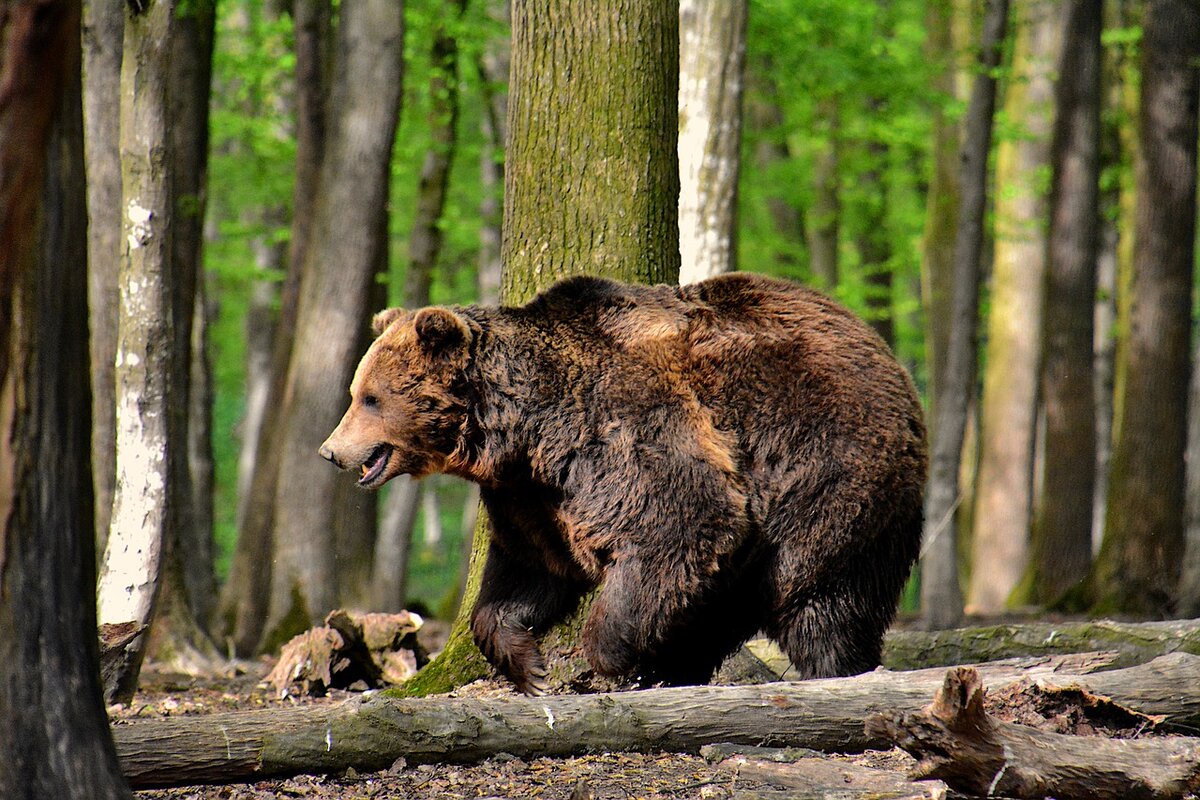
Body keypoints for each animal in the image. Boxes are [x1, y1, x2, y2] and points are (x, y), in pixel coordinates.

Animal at [319, 273, 926, 695]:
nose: (330, 450)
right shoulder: (533, 496)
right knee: (726, 603)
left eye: (370, 397)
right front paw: (530, 666)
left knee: (820, 597)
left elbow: (684, 522)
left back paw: (834, 667)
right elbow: (526, 572)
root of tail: (887, 356)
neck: (526, 430)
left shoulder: (624, 434)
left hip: (825, 468)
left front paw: (610, 659)